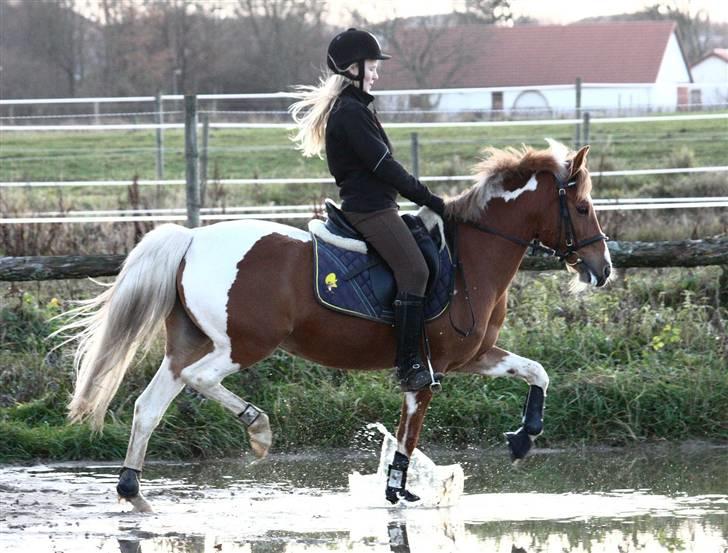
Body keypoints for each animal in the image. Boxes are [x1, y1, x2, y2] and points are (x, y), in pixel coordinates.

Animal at [60, 139, 611, 512]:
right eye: (583, 207)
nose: (602, 269)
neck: (468, 259)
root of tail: (193, 239)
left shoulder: (470, 357)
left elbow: (536, 371)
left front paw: (524, 437)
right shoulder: (426, 370)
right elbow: (409, 434)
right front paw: (396, 491)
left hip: (187, 344)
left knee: (149, 406)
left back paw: (131, 487)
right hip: (242, 345)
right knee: (200, 381)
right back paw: (258, 430)